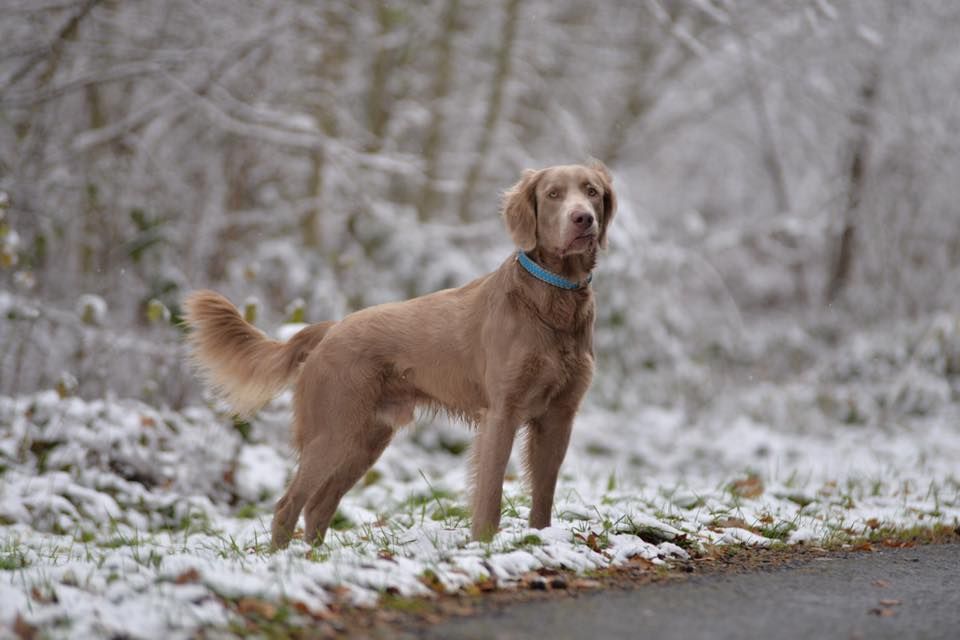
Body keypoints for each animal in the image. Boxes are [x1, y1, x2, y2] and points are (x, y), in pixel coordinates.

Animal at [184, 160, 620, 544]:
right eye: (553, 194)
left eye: (591, 192)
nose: (583, 219)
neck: (552, 299)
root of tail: (330, 329)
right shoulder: (502, 411)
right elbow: (490, 493)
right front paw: (483, 545)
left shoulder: (559, 416)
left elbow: (543, 493)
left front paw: (541, 540)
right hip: (333, 432)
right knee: (288, 506)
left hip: (365, 440)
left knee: (318, 507)